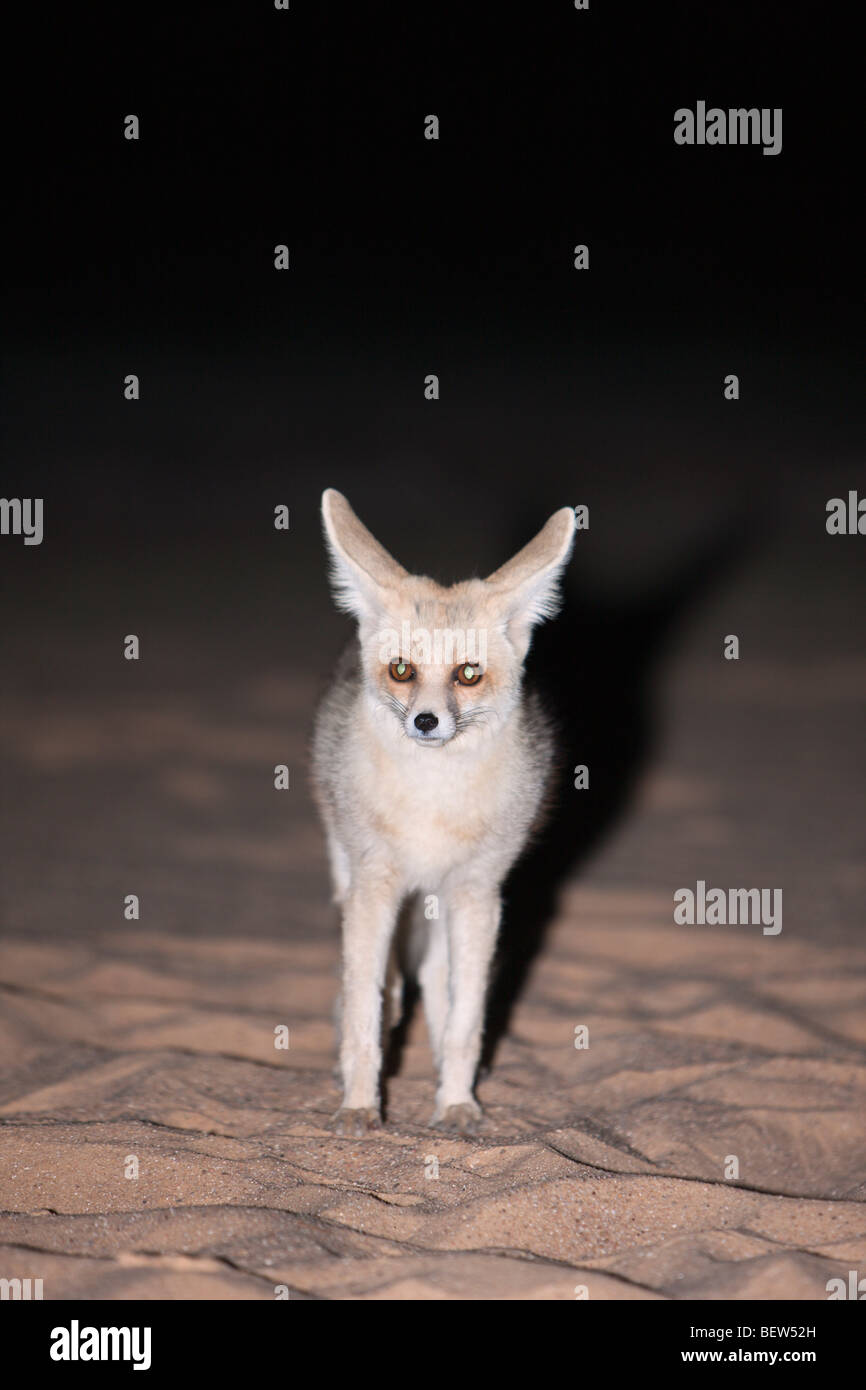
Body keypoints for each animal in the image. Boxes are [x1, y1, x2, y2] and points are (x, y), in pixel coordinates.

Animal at [311, 489, 575, 1128]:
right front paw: (360, 1107)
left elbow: (466, 1018)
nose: (425, 722)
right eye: (402, 670)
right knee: (389, 989)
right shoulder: (374, 885)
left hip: (439, 904)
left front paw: (457, 1103)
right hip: (360, 881)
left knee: (434, 980)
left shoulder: (477, 892)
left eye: (468, 675)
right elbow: (365, 1009)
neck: (431, 806)